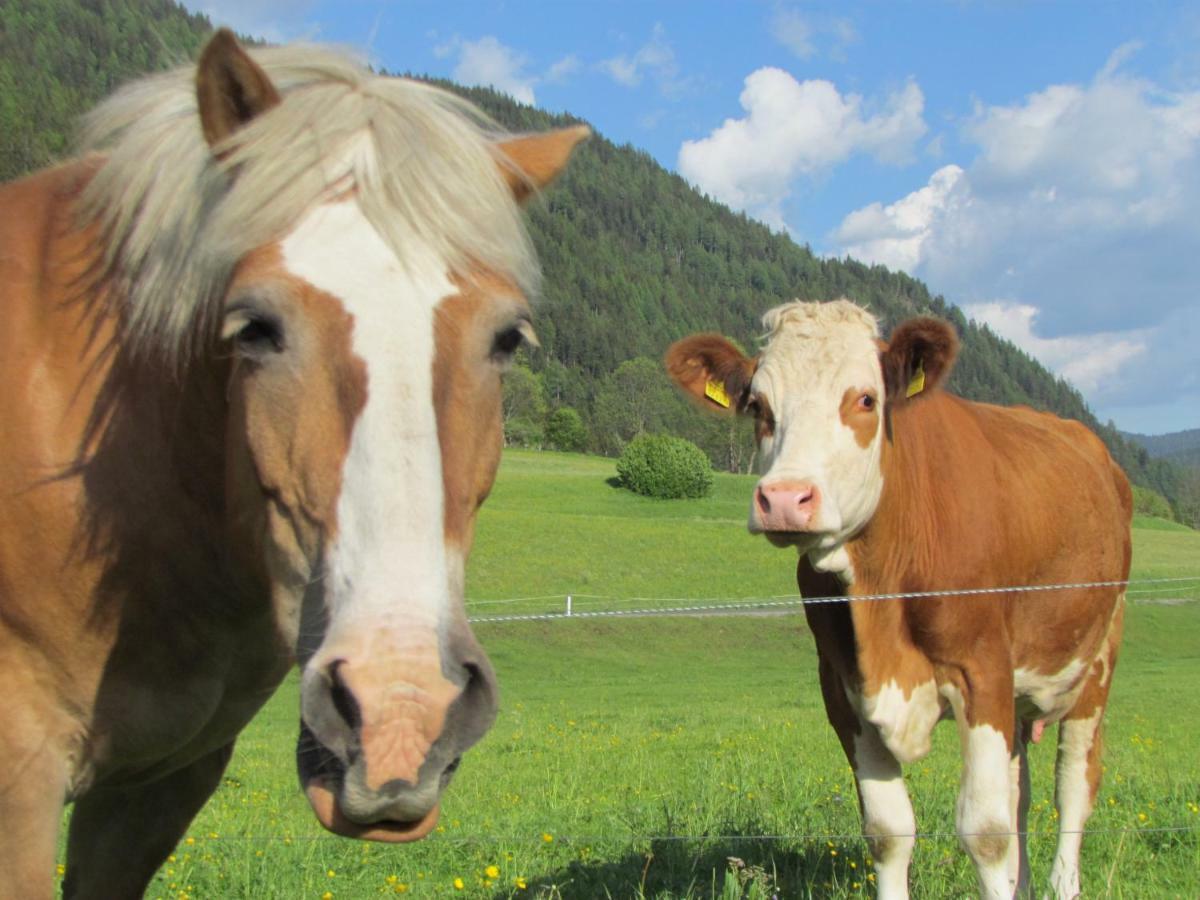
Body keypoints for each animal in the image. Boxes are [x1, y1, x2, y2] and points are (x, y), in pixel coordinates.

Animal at [672, 303, 1128, 900]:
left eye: (866, 399)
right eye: (758, 406)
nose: (786, 500)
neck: (882, 596)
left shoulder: (983, 669)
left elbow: (986, 832)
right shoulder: (843, 687)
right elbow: (889, 831)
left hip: (1096, 662)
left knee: (1073, 785)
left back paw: (1062, 881)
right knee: (1020, 791)